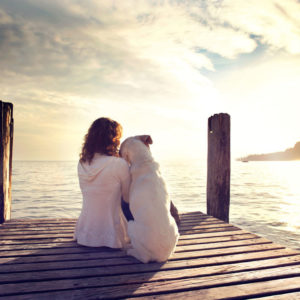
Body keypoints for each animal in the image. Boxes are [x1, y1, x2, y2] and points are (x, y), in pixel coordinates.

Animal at [119, 135, 179, 264]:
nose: (117, 151)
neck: (144, 160)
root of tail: (160, 256)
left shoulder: (126, 196)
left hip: (131, 225)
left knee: (144, 258)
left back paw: (131, 251)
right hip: (175, 229)